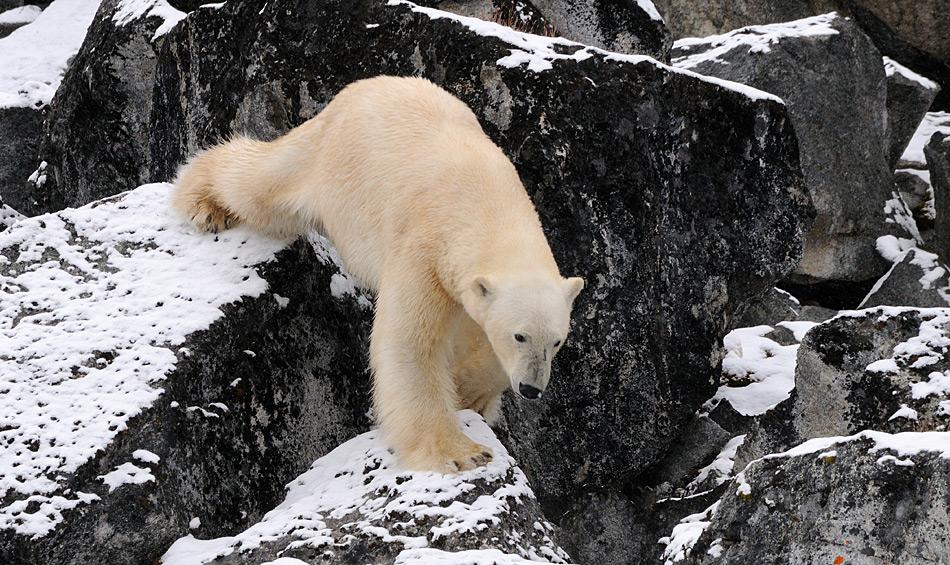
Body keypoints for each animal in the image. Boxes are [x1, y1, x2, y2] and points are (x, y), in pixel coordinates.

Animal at [172, 76, 584, 473]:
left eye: (557, 341)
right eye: (520, 335)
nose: (532, 389)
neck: (488, 204)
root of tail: (361, 88)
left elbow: (478, 341)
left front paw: (472, 395)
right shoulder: (426, 251)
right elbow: (409, 343)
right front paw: (462, 453)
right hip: (328, 161)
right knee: (262, 185)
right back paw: (204, 202)